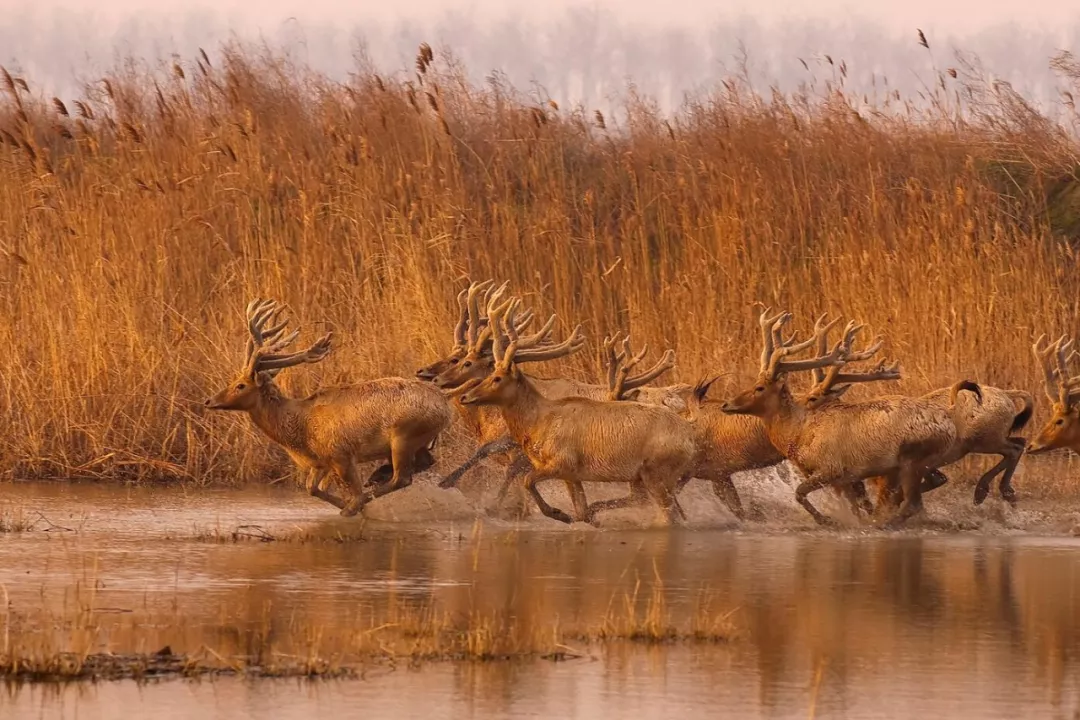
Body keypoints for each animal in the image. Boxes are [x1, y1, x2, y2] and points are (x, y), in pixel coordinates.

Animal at [205, 297, 451, 518]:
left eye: (240, 385)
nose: (209, 401)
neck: (299, 431)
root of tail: (444, 406)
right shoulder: (320, 462)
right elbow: (312, 489)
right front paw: (345, 504)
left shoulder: (341, 455)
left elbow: (349, 493)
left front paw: (352, 508)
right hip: (417, 442)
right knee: (425, 464)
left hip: (404, 436)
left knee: (402, 478)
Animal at [453, 295, 691, 526]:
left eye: (497, 378)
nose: (466, 396)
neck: (536, 424)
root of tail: (689, 442)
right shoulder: (572, 475)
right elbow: (581, 511)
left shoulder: (561, 462)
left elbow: (528, 481)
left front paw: (558, 513)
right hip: (651, 478)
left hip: (655, 473)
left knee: (669, 515)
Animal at [717, 310, 972, 528]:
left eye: (759, 387)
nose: (726, 404)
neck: (797, 435)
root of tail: (950, 425)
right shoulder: (845, 479)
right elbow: (854, 507)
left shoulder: (832, 468)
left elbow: (800, 493)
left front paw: (826, 520)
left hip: (913, 459)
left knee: (912, 503)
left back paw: (882, 525)